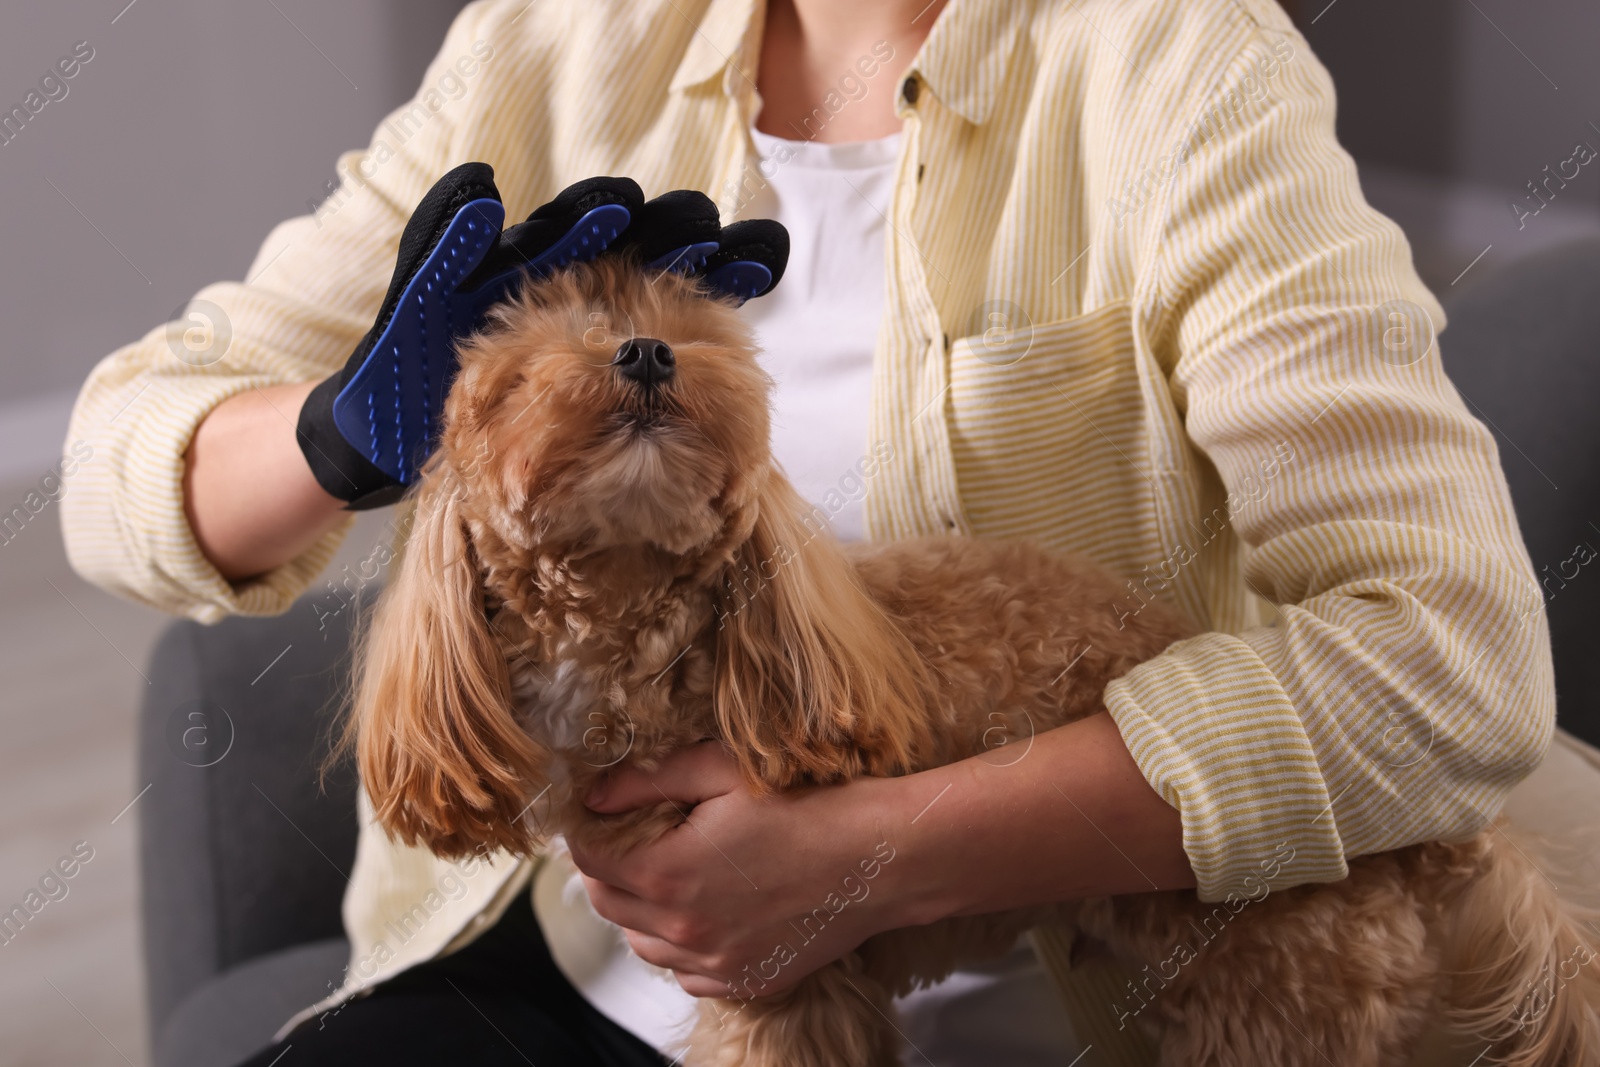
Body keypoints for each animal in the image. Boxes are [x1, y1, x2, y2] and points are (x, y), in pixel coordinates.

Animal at [350, 259, 1600, 1067]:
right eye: (517, 377)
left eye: (698, 337)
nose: (650, 354)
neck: (658, 643)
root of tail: (1447, 838)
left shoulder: (781, 975)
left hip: (1282, 998)